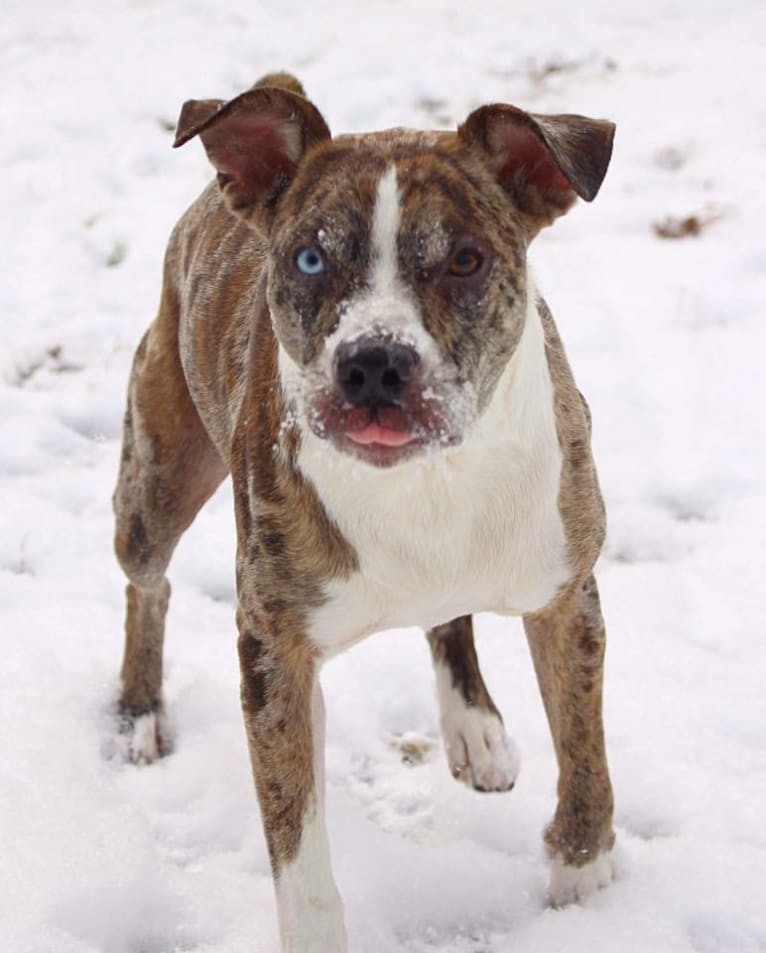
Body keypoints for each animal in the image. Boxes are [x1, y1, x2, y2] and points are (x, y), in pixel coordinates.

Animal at [114, 70, 616, 948]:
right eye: (310, 257)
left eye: (465, 259)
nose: (375, 362)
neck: (428, 483)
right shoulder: (274, 653)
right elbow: (298, 852)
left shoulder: (565, 594)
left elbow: (584, 747)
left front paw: (583, 881)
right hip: (158, 477)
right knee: (149, 582)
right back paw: (141, 711)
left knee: (449, 616)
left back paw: (474, 725)